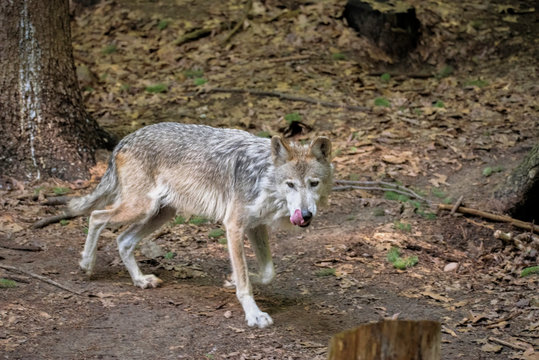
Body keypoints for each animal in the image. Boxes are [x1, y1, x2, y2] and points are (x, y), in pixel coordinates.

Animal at [69, 122, 334, 328]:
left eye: (313, 183)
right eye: (290, 185)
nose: (306, 214)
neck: (263, 176)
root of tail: (125, 139)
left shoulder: (255, 226)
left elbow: (268, 273)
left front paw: (232, 279)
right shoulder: (234, 226)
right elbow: (245, 281)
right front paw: (254, 314)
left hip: (161, 213)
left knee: (122, 240)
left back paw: (140, 280)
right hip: (140, 208)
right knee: (96, 216)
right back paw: (86, 264)